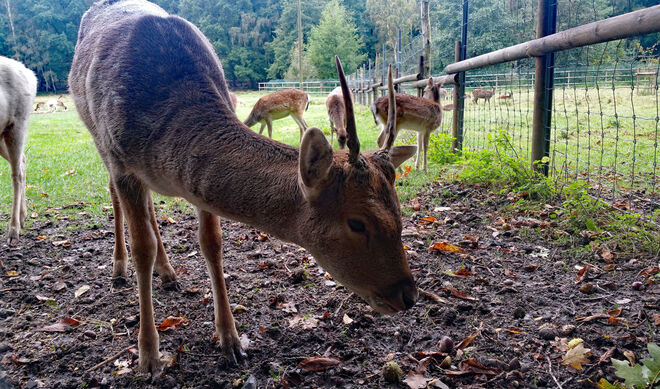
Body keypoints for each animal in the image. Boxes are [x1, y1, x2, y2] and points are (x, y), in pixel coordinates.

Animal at [68, 0, 418, 376]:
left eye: (398, 211)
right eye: (357, 223)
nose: (408, 295)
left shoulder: (193, 185)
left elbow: (212, 244)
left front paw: (231, 341)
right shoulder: (121, 161)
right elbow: (141, 249)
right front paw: (148, 356)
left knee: (148, 209)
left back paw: (169, 273)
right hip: (99, 140)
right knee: (115, 197)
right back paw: (119, 269)